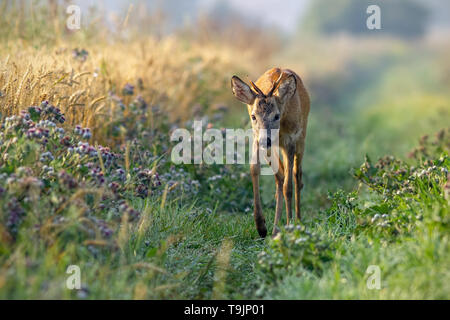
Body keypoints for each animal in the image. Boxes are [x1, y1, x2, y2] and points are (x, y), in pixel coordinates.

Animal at [232, 67, 310, 238]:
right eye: (253, 116)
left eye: (276, 115)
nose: (265, 140)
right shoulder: (256, 137)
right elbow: (254, 169)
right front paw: (261, 227)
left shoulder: (290, 139)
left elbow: (289, 186)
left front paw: (290, 225)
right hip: (273, 148)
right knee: (280, 175)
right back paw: (275, 230)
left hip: (302, 137)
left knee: (297, 176)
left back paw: (298, 221)